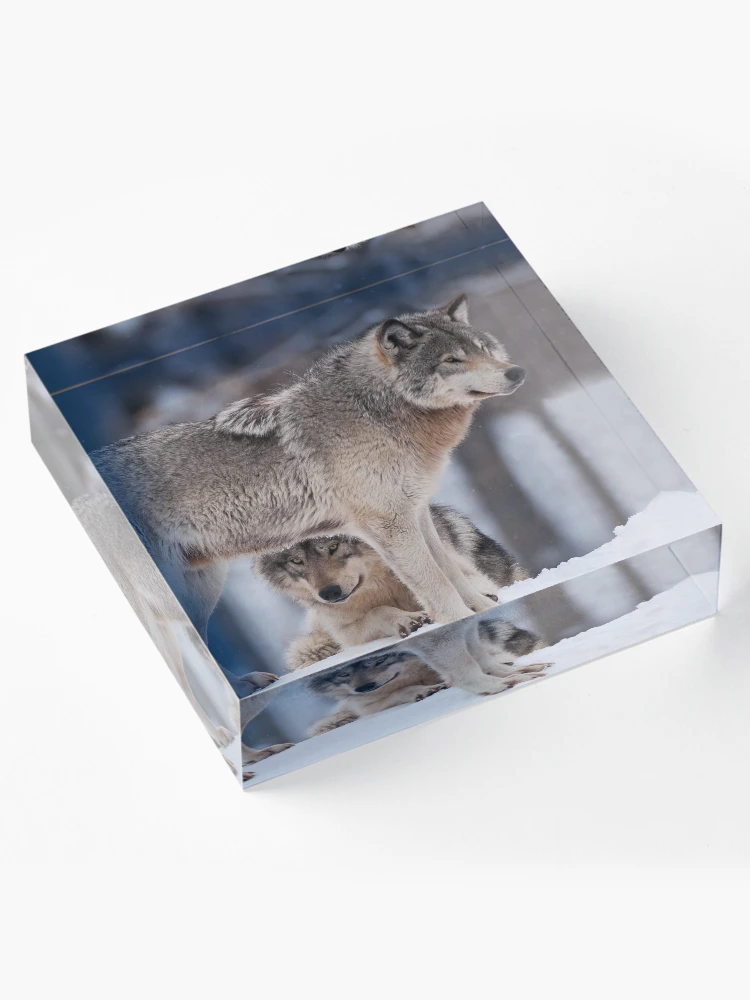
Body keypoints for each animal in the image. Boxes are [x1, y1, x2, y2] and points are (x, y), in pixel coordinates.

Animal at [255, 503, 528, 669]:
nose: (329, 593)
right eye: (296, 561)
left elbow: (458, 587)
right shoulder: (347, 632)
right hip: (309, 641)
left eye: (333, 547)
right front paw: (407, 620)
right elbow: (378, 613)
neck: (381, 584)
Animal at [306, 621, 550, 737]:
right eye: (344, 673)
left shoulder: (467, 631)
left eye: (380, 661)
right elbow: (468, 671)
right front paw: (505, 683)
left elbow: (485, 660)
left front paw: (518, 671)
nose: (364, 687)